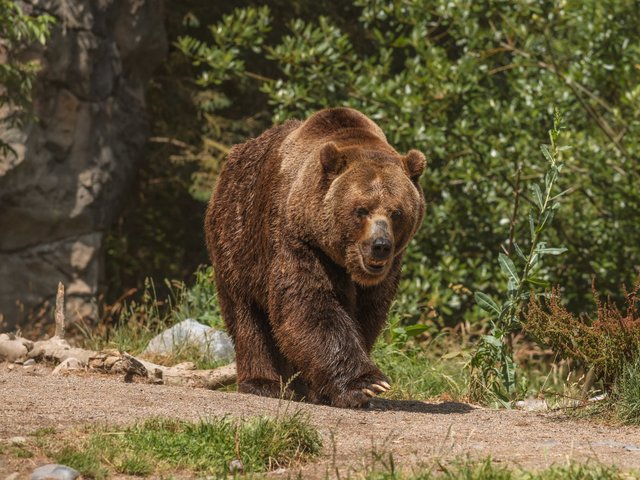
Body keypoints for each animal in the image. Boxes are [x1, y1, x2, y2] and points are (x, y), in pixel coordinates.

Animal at [205, 107, 424, 406]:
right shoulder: (299, 240)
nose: (380, 245)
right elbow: (310, 305)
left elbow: (367, 314)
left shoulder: (383, 274)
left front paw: (327, 389)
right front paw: (366, 383)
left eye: (397, 212)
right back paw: (262, 382)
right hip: (237, 238)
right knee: (247, 315)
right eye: (361, 209)